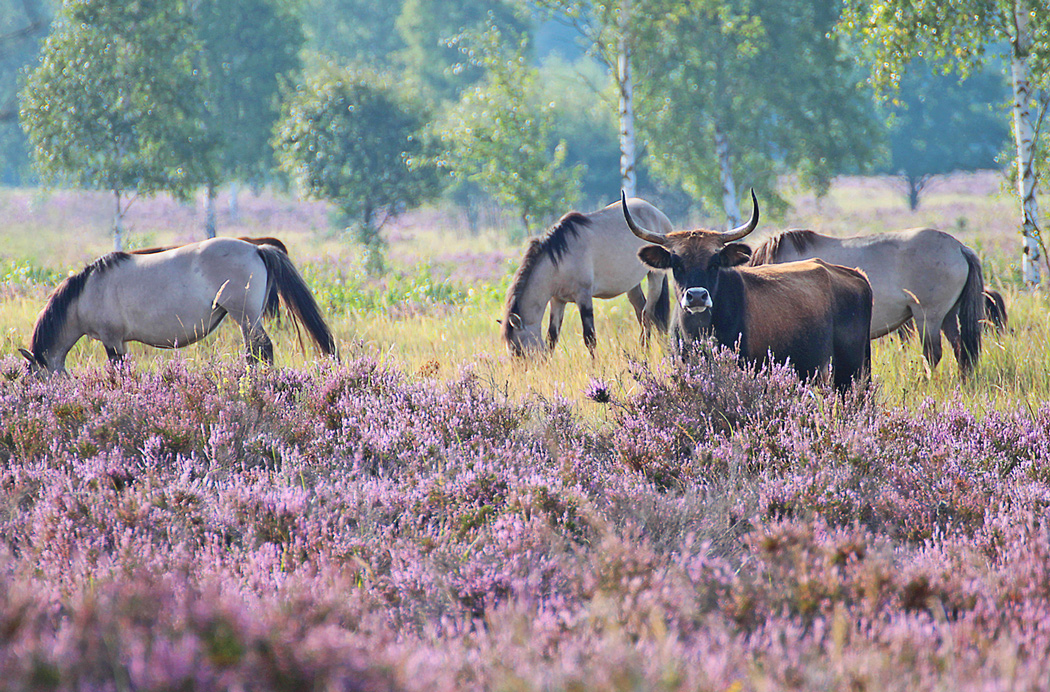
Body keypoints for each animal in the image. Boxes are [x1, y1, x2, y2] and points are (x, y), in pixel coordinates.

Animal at [19, 239, 336, 378]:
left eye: (34, 376)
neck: (87, 293)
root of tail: (256, 248)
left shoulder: (112, 340)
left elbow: (120, 372)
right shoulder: (119, 342)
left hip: (245, 317)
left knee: (261, 350)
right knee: (256, 351)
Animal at [501, 196, 672, 354]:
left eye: (517, 350)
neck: (559, 260)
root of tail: (658, 214)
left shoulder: (583, 296)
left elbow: (590, 338)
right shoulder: (557, 301)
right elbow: (552, 338)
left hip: (655, 276)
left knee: (649, 315)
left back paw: (647, 352)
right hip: (632, 285)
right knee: (642, 313)